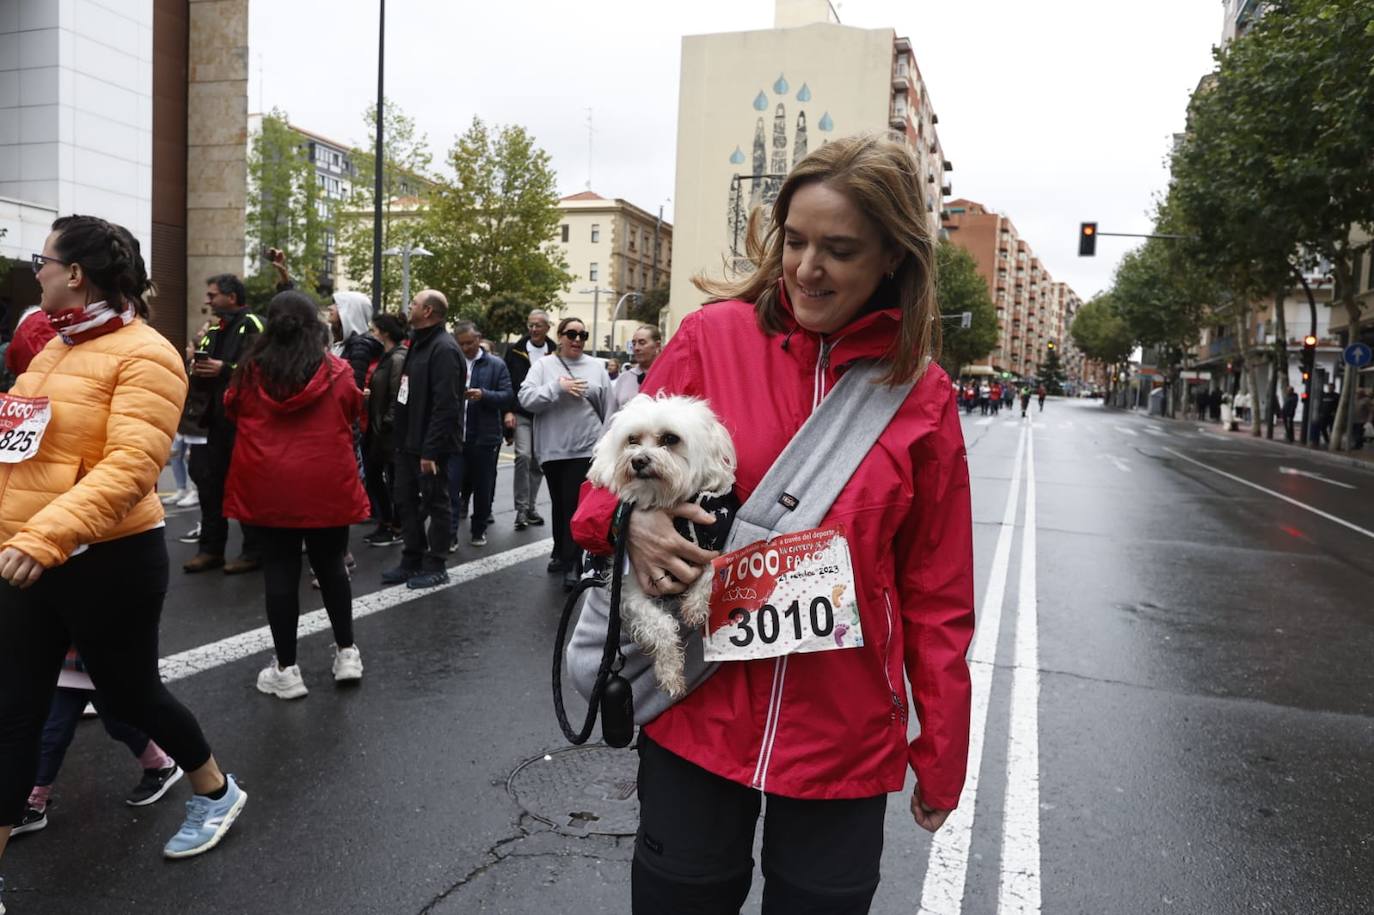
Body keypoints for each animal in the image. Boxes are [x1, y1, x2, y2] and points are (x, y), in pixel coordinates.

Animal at [590, 387, 741, 695]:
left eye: (670, 439)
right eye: (632, 440)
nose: (638, 460)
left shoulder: (711, 537)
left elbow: (712, 568)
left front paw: (695, 605)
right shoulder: (630, 587)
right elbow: (661, 625)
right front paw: (671, 673)